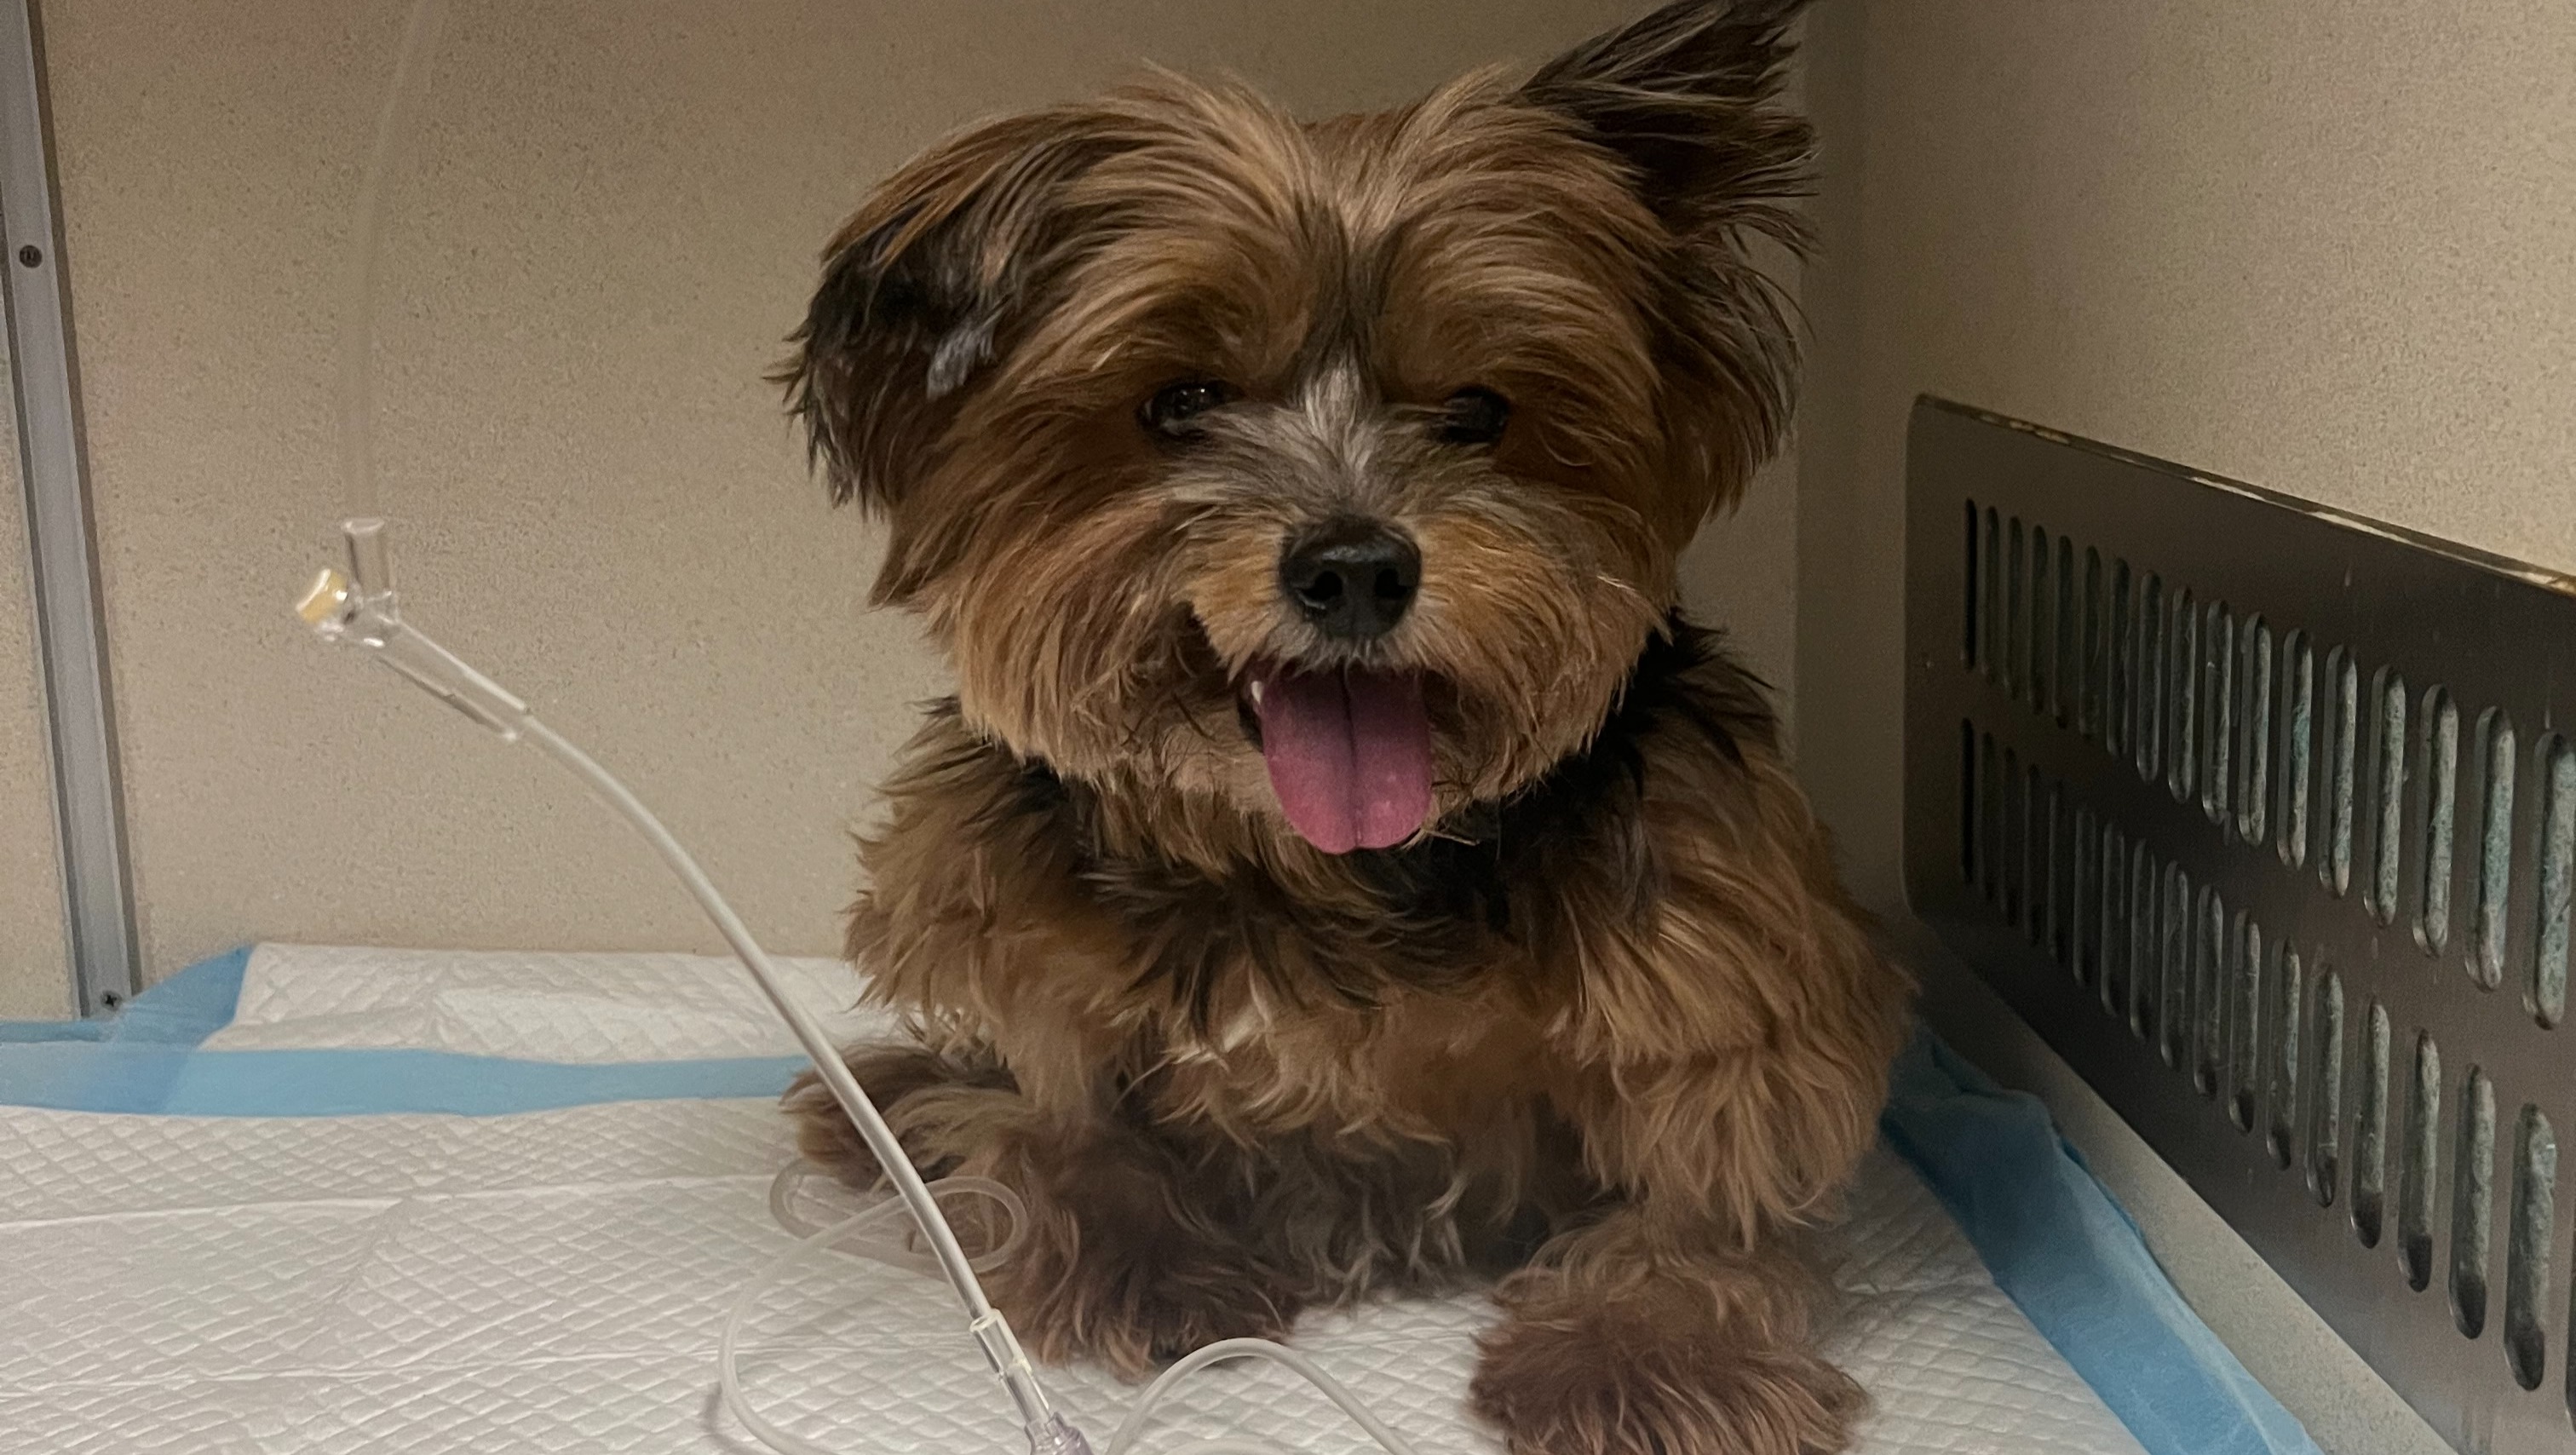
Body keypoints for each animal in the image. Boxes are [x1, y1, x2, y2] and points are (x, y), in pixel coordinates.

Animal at [777, 2, 1910, 1452]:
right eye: (1181, 401)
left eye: (1479, 412)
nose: (1356, 567)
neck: (1317, 868)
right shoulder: (1012, 930)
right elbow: (1065, 1111)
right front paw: (1143, 1250)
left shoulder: (1718, 939)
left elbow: (1712, 1174)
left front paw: (1652, 1352)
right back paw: (895, 1108)